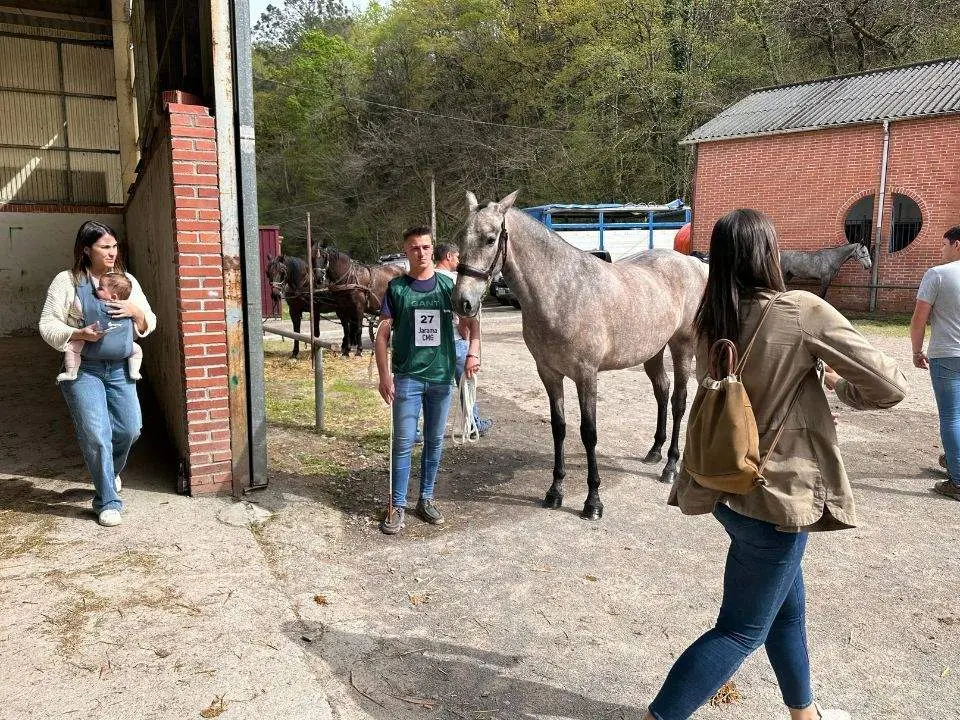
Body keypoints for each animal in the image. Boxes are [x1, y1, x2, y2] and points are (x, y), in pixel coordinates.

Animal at [452, 190, 708, 520]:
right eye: (461, 237)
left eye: (490, 239)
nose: (463, 303)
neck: (561, 291)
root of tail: (691, 262)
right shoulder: (549, 373)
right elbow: (559, 428)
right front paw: (554, 492)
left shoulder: (586, 375)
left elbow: (589, 433)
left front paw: (593, 501)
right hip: (653, 349)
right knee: (662, 392)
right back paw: (654, 452)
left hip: (682, 346)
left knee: (678, 401)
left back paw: (670, 466)